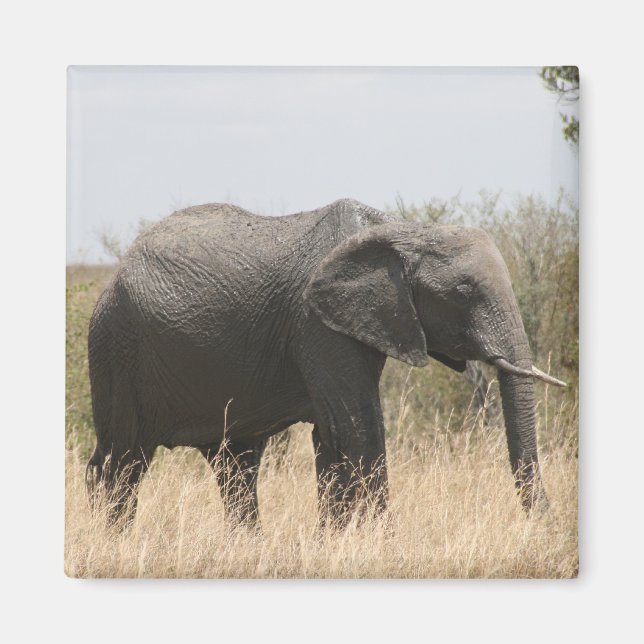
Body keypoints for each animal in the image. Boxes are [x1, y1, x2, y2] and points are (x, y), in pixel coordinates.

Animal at [86, 198, 565, 527]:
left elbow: (333, 435)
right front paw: (380, 543)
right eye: (464, 293)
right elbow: (356, 427)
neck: (401, 230)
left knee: (234, 464)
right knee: (123, 459)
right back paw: (113, 540)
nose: (547, 523)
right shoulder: (317, 324)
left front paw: (335, 540)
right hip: (116, 347)